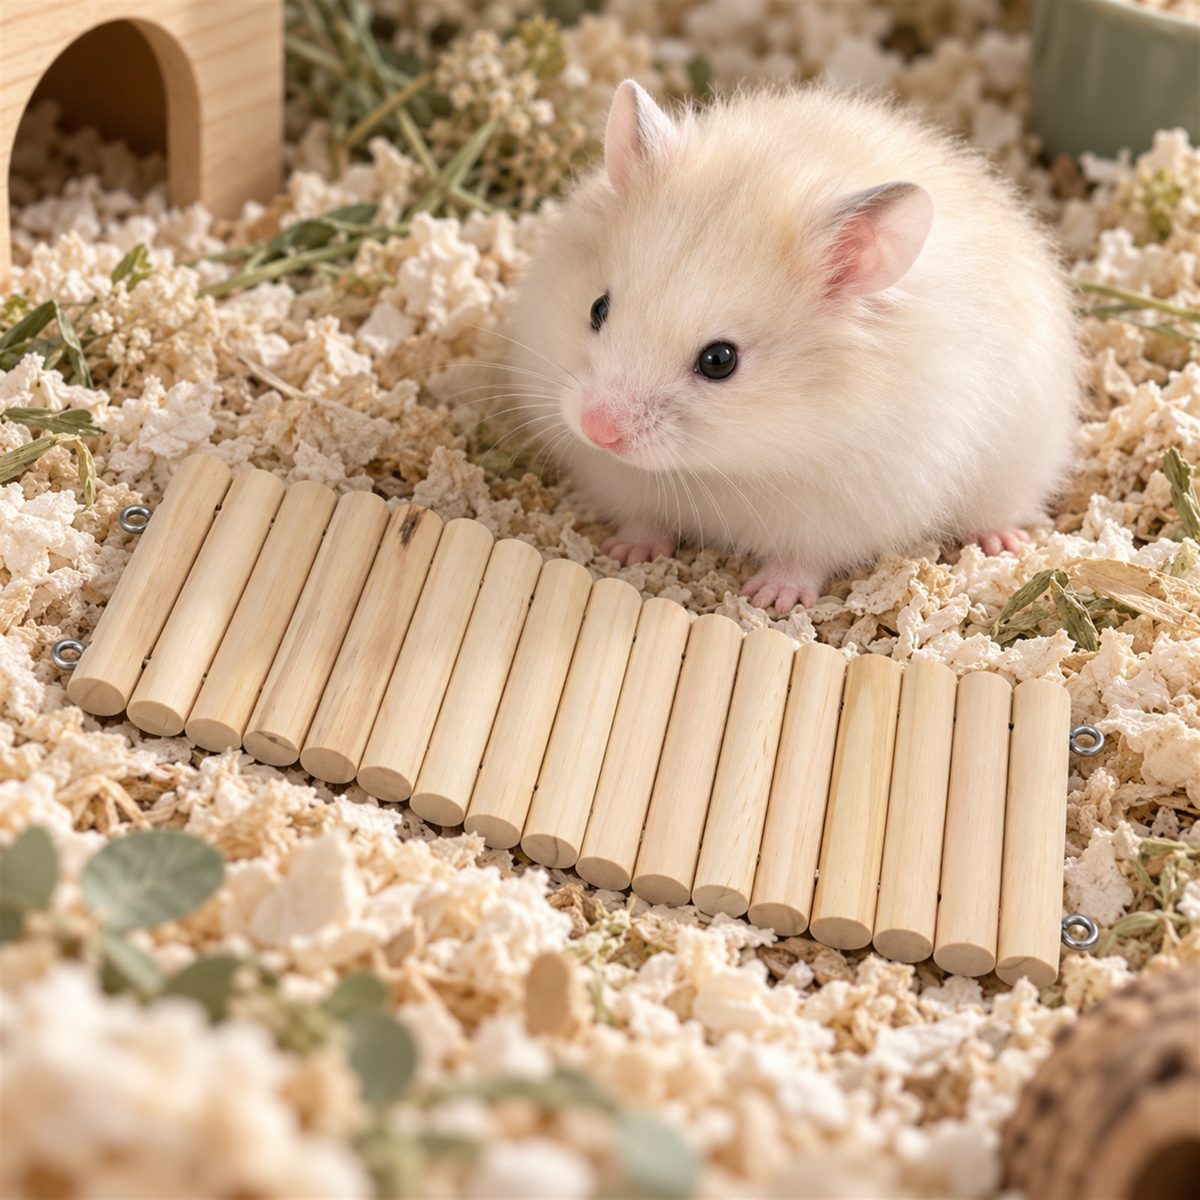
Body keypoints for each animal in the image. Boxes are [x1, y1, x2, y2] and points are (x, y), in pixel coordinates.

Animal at [505, 81, 1079, 611]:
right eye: (598, 308)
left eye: (720, 361)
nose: (596, 430)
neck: (727, 466)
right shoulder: (629, 484)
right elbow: (645, 518)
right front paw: (625, 553)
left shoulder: (843, 512)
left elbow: (802, 559)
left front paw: (768, 599)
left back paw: (1004, 542)